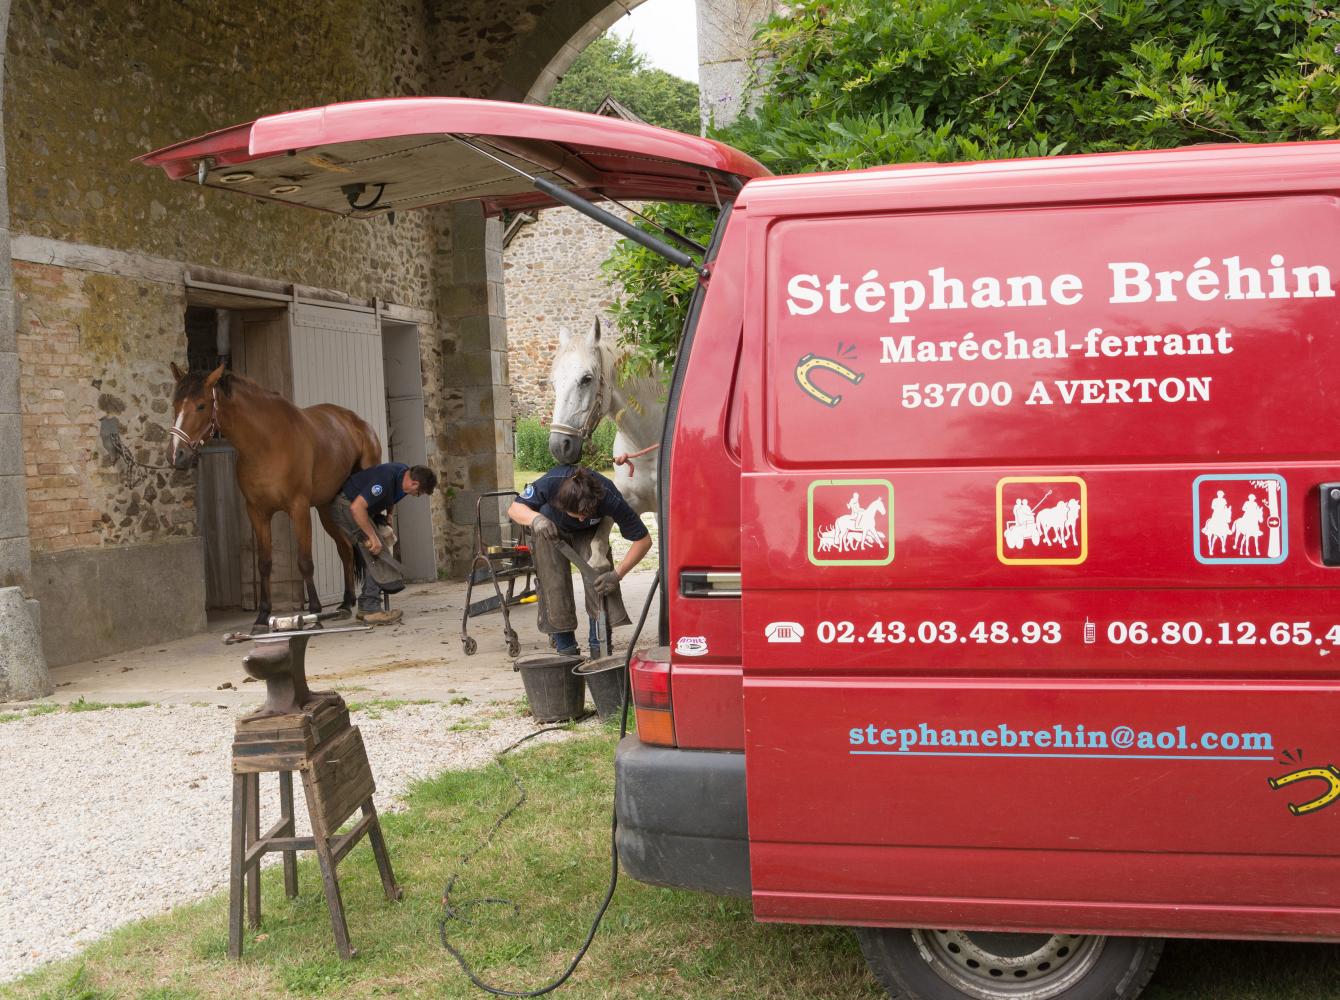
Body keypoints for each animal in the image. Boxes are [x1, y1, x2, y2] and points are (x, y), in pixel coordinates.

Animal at [170, 361, 383, 630]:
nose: (178, 455)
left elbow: (304, 562)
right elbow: (264, 564)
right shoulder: (257, 512)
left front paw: (314, 614)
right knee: (345, 548)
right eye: (175, 405)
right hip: (326, 508)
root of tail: (360, 424)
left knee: (372, 541)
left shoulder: (298, 509)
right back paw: (345, 604)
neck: (266, 443)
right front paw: (262, 617)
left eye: (201, 405)